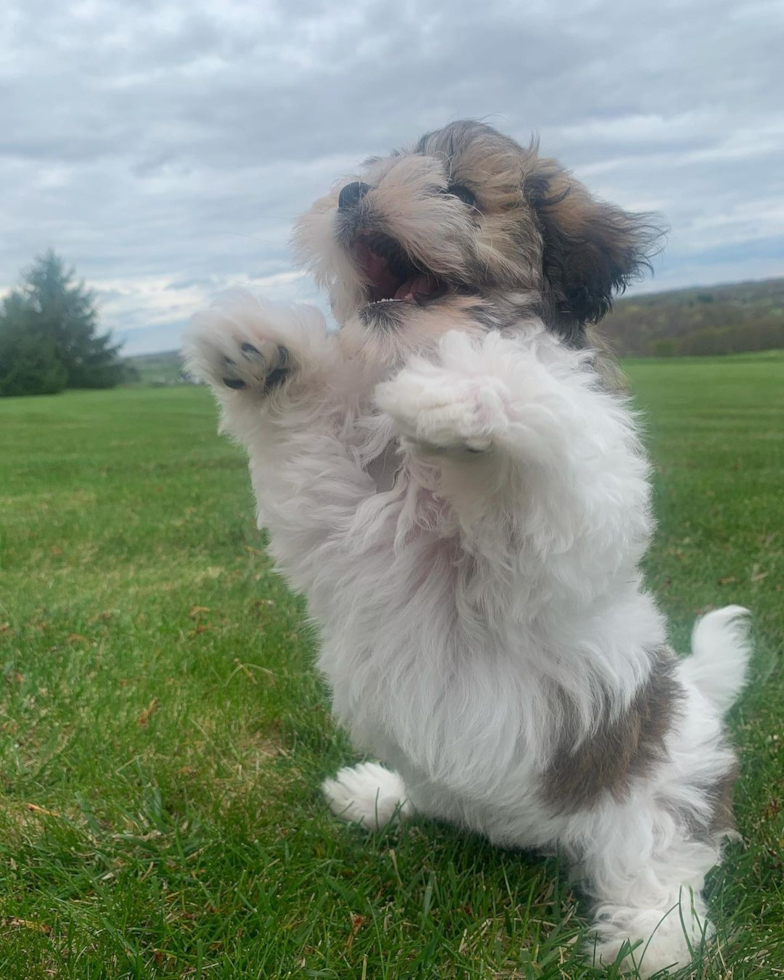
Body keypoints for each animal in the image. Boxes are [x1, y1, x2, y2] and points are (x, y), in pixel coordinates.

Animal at [181, 120, 752, 972]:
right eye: (372, 174)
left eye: (458, 190)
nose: (351, 195)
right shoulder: (341, 521)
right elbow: (306, 450)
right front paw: (261, 352)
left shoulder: (573, 505)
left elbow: (542, 421)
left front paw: (459, 391)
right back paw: (379, 793)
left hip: (658, 788)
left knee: (661, 854)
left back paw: (651, 936)